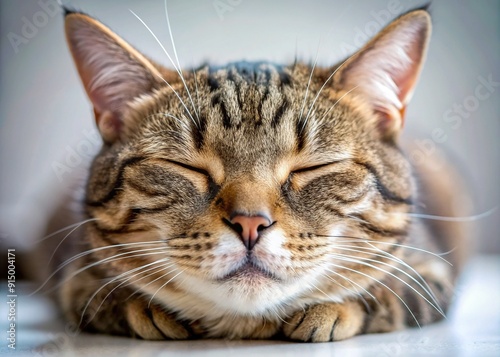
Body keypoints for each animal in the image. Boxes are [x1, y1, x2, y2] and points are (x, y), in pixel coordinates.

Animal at [48, 4, 470, 340]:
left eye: (314, 167)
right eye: (185, 166)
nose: (250, 223)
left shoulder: (432, 272)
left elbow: (385, 295)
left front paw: (332, 310)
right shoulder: (74, 276)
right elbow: (95, 296)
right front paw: (145, 308)